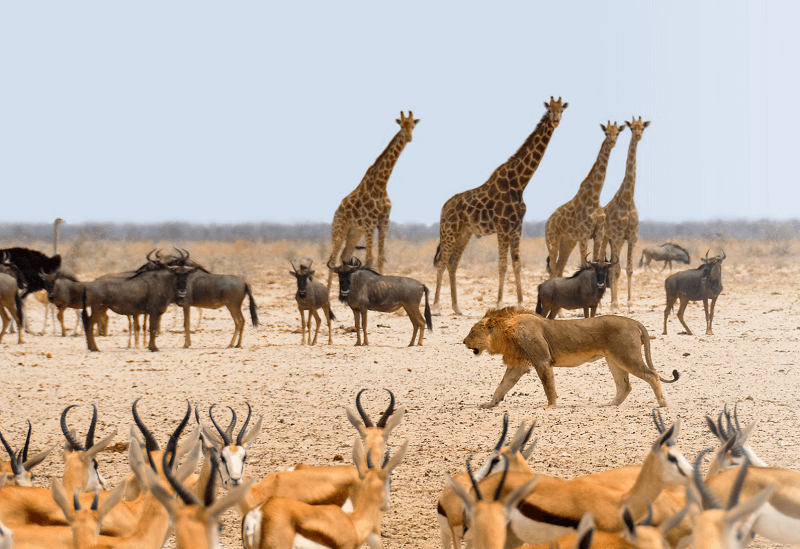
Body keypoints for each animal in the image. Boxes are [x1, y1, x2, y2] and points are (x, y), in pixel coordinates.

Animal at [328, 112, 422, 292]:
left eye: (413, 126)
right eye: (402, 125)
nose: (409, 137)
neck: (381, 185)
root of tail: (336, 212)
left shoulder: (384, 222)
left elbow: (380, 257)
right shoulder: (370, 223)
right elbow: (369, 259)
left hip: (354, 232)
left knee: (345, 257)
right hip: (339, 229)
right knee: (333, 258)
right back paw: (327, 295)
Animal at [432, 96, 568, 314]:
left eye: (561, 110)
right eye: (549, 110)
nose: (556, 120)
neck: (519, 183)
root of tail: (444, 208)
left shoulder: (516, 227)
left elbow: (517, 264)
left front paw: (520, 303)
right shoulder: (503, 226)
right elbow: (503, 265)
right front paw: (499, 303)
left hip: (464, 233)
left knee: (453, 263)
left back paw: (456, 307)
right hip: (449, 231)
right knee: (442, 262)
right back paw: (436, 306)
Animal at [462, 306, 680, 408]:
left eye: (472, 331)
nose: (463, 341)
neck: (505, 332)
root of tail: (635, 322)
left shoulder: (542, 361)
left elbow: (548, 386)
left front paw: (550, 406)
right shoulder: (518, 365)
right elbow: (502, 386)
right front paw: (490, 404)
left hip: (627, 356)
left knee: (652, 375)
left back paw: (662, 402)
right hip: (614, 360)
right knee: (624, 385)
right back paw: (610, 405)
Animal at [544, 122, 624, 280]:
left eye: (617, 133)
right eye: (606, 132)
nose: (612, 142)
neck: (595, 197)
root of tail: (547, 223)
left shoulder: (598, 234)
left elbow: (596, 260)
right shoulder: (583, 235)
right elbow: (584, 262)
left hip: (568, 242)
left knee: (559, 268)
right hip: (552, 240)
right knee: (554, 269)